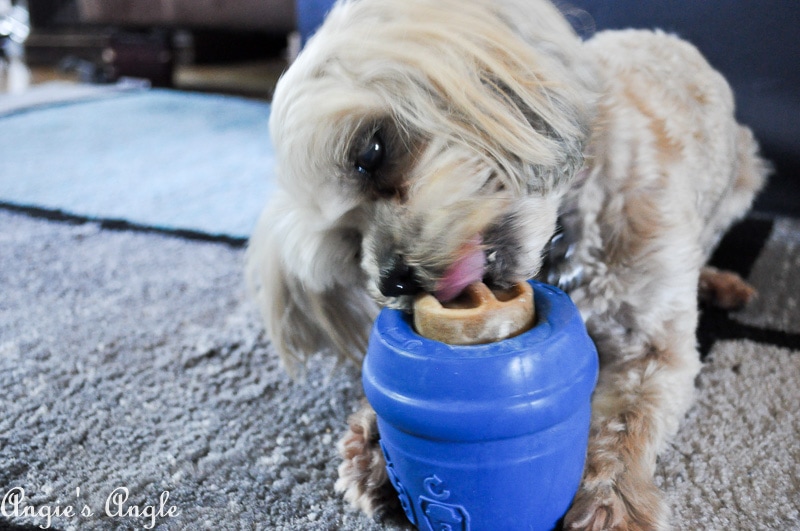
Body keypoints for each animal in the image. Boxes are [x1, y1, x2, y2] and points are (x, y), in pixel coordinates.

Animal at [245, 1, 768, 528]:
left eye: (370, 152)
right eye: (352, 246)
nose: (395, 279)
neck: (561, 242)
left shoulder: (652, 348)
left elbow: (626, 423)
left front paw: (613, 500)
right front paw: (372, 439)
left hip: (743, 175)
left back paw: (718, 281)